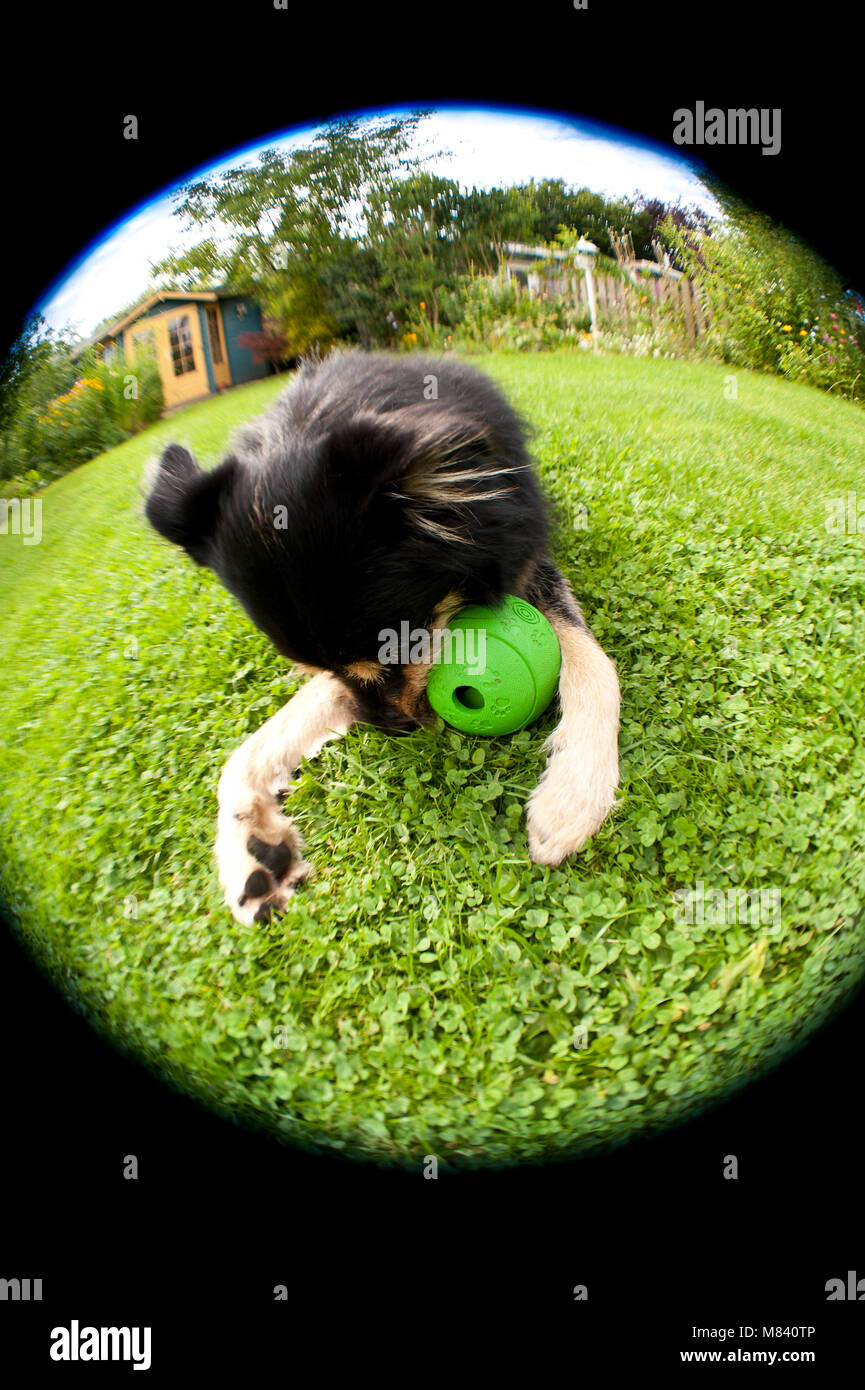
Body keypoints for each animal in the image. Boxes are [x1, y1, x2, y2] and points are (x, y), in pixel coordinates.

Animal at [148, 350, 623, 922]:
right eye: (315, 669)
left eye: (404, 645)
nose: (390, 730)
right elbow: (245, 754)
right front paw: (251, 853)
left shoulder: (525, 557)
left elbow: (596, 665)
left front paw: (574, 792)